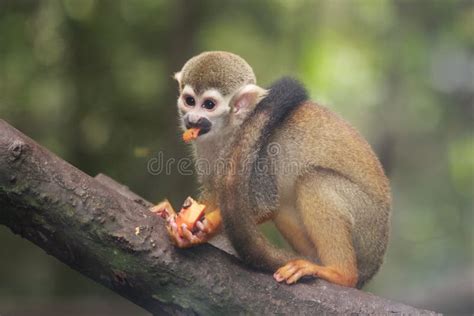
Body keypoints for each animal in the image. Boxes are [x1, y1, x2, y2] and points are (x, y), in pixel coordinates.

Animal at [150, 50, 390, 288]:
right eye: (190, 101)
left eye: (209, 105)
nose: (192, 120)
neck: (231, 128)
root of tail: (373, 265)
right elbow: (214, 193)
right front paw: (181, 220)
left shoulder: (261, 152)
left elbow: (261, 206)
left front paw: (205, 228)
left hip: (366, 226)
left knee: (314, 180)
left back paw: (339, 273)